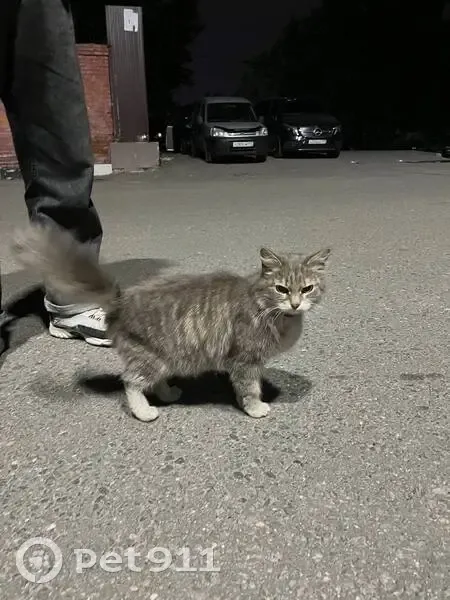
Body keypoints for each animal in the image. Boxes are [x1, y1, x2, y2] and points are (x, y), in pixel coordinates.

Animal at [13, 224, 330, 421]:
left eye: (307, 289)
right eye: (282, 289)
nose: (295, 304)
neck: (266, 307)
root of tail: (121, 300)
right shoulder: (244, 360)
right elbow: (249, 388)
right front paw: (254, 408)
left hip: (167, 357)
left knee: (154, 381)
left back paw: (168, 393)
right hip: (149, 359)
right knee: (130, 382)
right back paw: (144, 412)